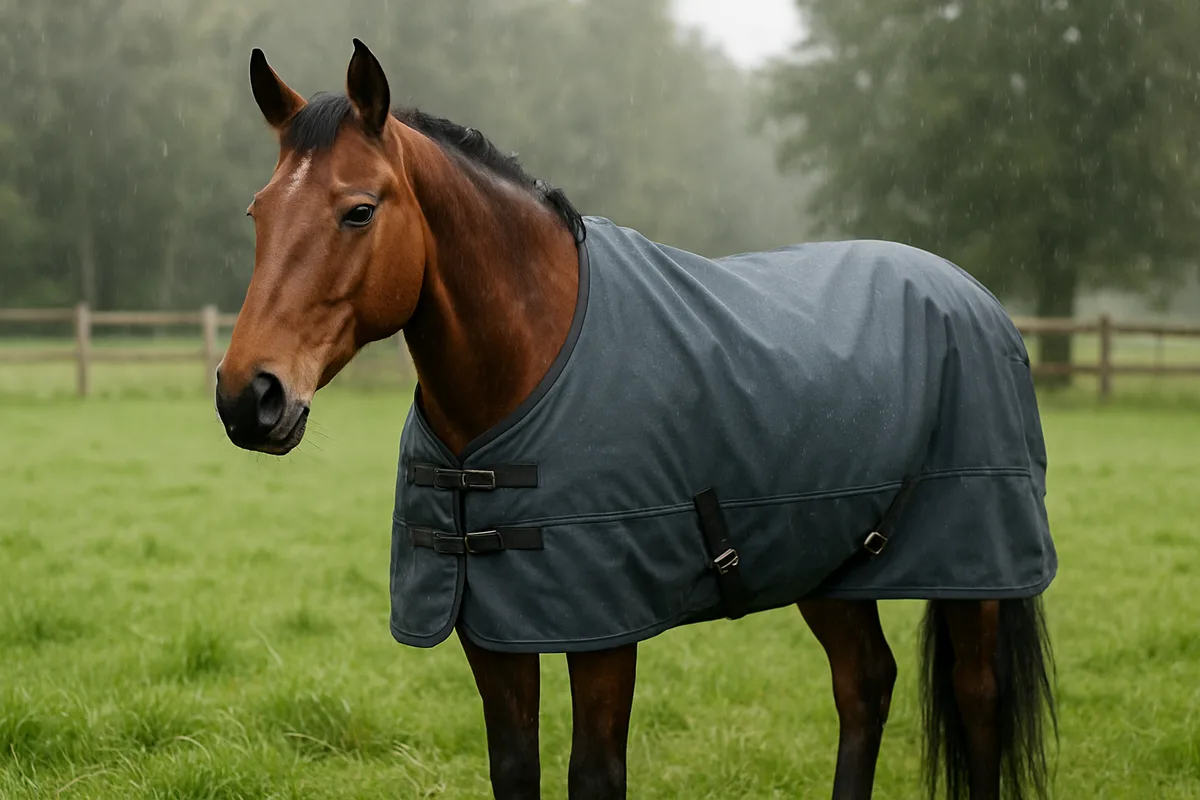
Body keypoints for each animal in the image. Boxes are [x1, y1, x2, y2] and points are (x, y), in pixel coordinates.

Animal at [215, 40, 1057, 800]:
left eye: (358, 211)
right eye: (257, 212)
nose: (246, 397)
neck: (527, 371)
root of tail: (974, 296)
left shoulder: (603, 632)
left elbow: (595, 774)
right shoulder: (492, 627)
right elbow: (515, 769)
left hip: (974, 567)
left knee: (977, 699)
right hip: (829, 558)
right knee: (864, 683)